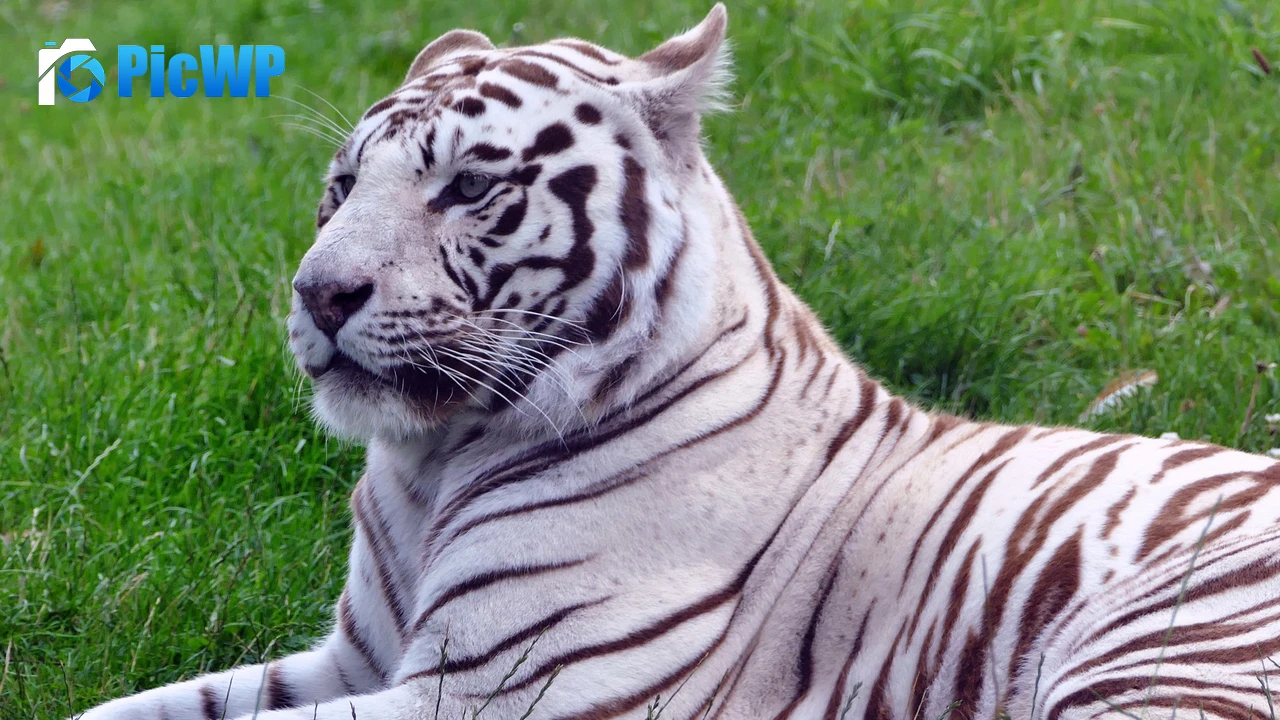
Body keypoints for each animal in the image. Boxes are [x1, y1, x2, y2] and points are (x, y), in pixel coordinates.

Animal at [72, 5, 1280, 720]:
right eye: (339, 188)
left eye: (468, 185)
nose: (318, 294)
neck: (431, 462)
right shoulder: (356, 658)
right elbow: (132, 711)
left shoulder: (491, 690)